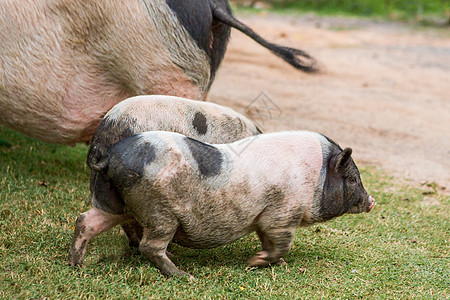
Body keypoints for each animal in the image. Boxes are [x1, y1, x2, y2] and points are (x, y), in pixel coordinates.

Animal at [68, 130, 374, 278]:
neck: (316, 176)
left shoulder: (265, 216)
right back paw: (184, 276)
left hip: (114, 202)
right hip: (159, 211)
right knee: (149, 246)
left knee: (86, 220)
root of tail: (109, 157)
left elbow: (270, 242)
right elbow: (280, 242)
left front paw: (277, 263)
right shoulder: (281, 213)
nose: (371, 201)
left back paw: (77, 264)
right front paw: (254, 262)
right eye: (352, 178)